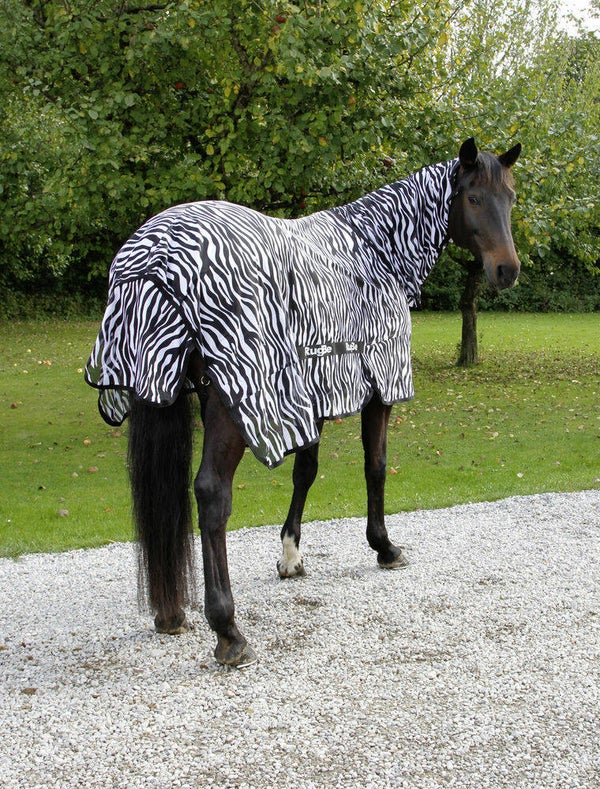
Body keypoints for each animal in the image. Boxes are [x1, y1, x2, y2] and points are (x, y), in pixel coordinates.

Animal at [86, 137, 521, 667]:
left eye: (511, 197)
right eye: (474, 198)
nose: (507, 270)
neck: (374, 250)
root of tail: (154, 256)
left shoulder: (311, 393)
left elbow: (305, 471)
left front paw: (290, 555)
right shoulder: (377, 386)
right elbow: (376, 466)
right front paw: (384, 546)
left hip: (161, 386)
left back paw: (170, 613)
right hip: (232, 403)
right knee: (211, 495)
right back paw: (227, 629)